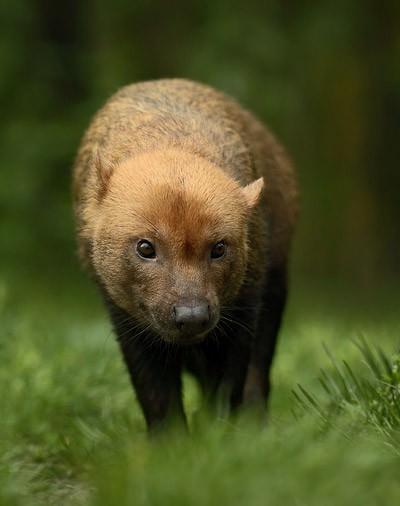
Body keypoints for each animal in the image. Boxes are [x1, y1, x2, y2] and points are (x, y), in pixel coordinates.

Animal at [72, 79, 296, 430]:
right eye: (145, 247)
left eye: (219, 247)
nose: (191, 316)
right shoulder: (126, 320)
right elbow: (158, 399)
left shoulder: (245, 309)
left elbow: (229, 388)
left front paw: (223, 435)